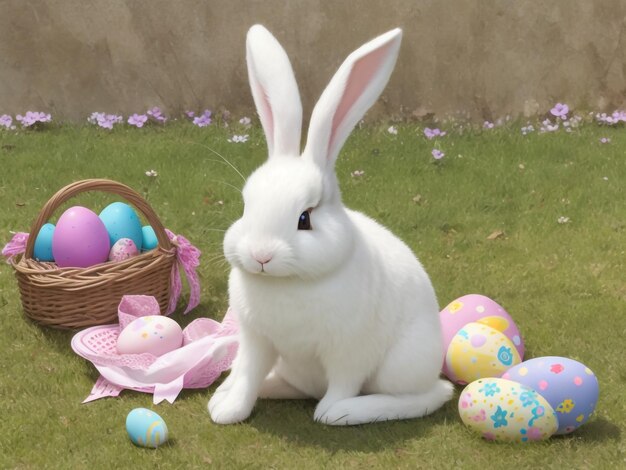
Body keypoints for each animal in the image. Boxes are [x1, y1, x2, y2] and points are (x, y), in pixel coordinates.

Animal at [207, 23, 450, 424]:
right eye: (246, 206)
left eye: (305, 218)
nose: (261, 255)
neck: (287, 284)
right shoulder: (256, 341)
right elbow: (247, 375)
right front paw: (226, 410)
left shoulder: (350, 350)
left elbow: (343, 383)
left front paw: (331, 412)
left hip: (403, 364)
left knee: (431, 395)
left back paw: (357, 410)